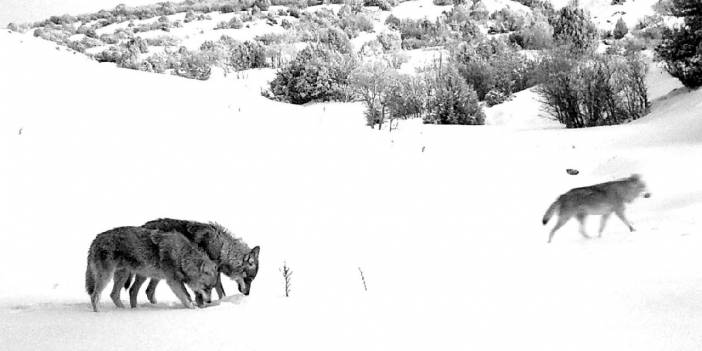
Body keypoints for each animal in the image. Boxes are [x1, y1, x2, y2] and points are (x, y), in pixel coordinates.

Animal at [85, 228, 219, 314]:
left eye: (212, 288)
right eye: (206, 287)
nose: (209, 301)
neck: (181, 256)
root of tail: (96, 239)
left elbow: (187, 296)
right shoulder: (173, 281)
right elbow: (186, 298)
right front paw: (194, 310)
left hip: (124, 275)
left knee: (114, 295)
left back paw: (125, 310)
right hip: (106, 277)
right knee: (95, 296)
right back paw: (99, 314)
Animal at [115, 219, 262, 310]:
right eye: (249, 279)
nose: (247, 294)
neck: (221, 249)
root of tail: (142, 226)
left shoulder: (214, 275)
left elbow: (220, 292)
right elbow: (205, 293)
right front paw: (204, 305)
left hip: (158, 274)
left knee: (148, 291)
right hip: (149, 272)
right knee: (134, 290)